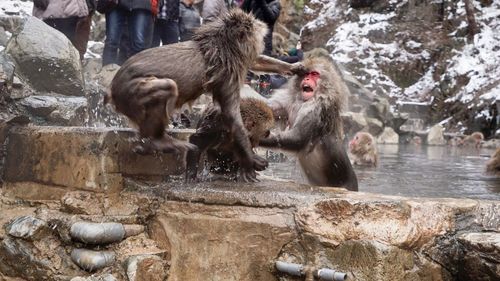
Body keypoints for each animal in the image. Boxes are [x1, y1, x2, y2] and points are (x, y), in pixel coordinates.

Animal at [105, 8, 304, 182]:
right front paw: (250, 159)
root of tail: (112, 89)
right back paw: (161, 142)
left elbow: (255, 61)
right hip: (131, 92)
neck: (222, 44)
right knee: (167, 87)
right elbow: (231, 115)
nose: (263, 43)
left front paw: (294, 67)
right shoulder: (227, 73)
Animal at [258, 55, 360, 190]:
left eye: (314, 74)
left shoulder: (316, 109)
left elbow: (297, 139)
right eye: (306, 74)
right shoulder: (288, 101)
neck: (303, 101)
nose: (306, 78)